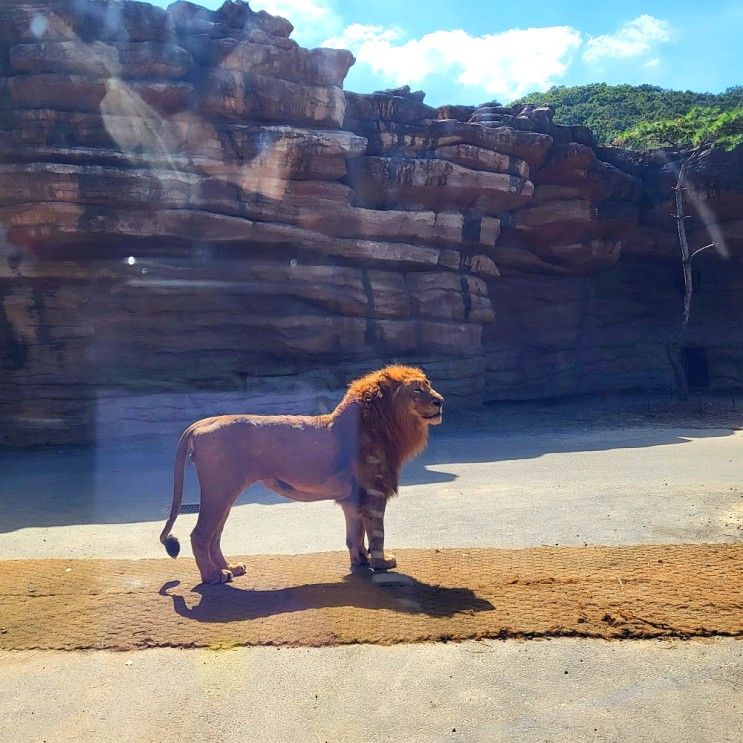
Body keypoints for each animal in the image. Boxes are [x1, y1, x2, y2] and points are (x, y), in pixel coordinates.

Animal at [160, 366, 444, 588]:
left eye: (429, 385)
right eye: (417, 390)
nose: (440, 401)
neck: (389, 424)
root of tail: (202, 423)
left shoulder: (353, 498)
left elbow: (354, 534)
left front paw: (360, 561)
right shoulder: (374, 492)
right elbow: (376, 532)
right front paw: (382, 562)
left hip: (225, 495)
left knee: (214, 537)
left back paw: (230, 568)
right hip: (219, 491)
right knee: (200, 535)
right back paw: (213, 576)